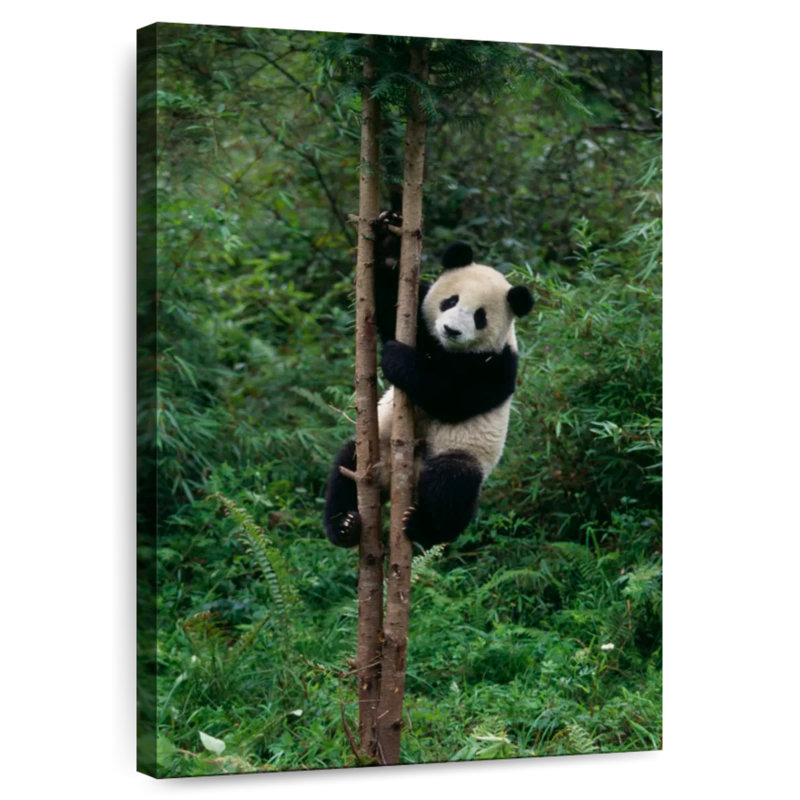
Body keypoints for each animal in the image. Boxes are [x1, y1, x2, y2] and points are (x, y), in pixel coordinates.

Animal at [324, 215, 534, 549]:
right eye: (450, 301)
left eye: (480, 316)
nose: (451, 330)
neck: (447, 350)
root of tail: (397, 478)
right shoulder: (422, 323)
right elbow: (388, 306)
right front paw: (388, 246)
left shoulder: (498, 365)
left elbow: (452, 398)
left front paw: (397, 359)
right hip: (377, 448)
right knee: (346, 468)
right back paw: (344, 526)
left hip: (460, 452)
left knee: (452, 486)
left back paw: (421, 526)